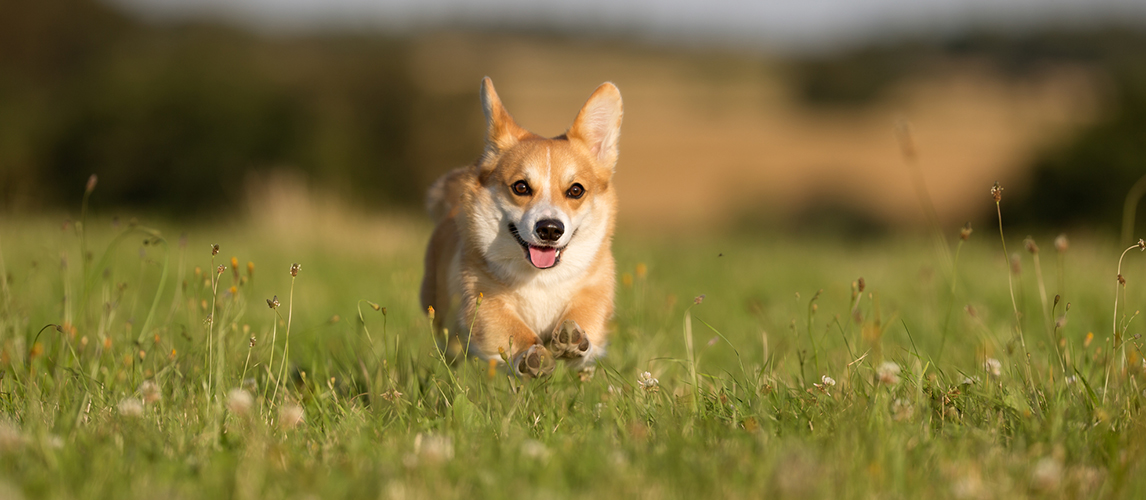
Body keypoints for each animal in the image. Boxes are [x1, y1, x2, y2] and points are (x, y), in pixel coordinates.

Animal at [421, 76, 623, 376]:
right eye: (521, 187)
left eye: (576, 190)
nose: (550, 229)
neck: (540, 278)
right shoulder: (486, 303)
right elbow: (514, 329)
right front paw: (532, 354)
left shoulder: (593, 292)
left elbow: (583, 315)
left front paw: (572, 338)